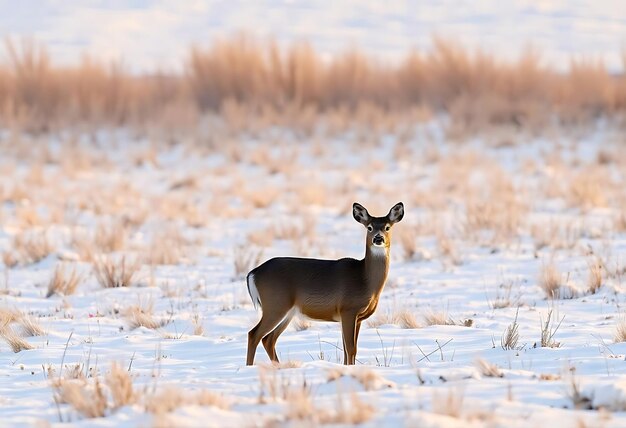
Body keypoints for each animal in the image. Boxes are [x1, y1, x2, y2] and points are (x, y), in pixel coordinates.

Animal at [246, 201, 402, 364]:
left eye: (387, 227)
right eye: (369, 227)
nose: (378, 238)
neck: (365, 279)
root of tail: (253, 272)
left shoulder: (357, 317)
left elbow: (348, 350)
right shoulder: (348, 309)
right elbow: (351, 349)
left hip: (288, 311)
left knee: (269, 339)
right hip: (275, 304)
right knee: (254, 334)